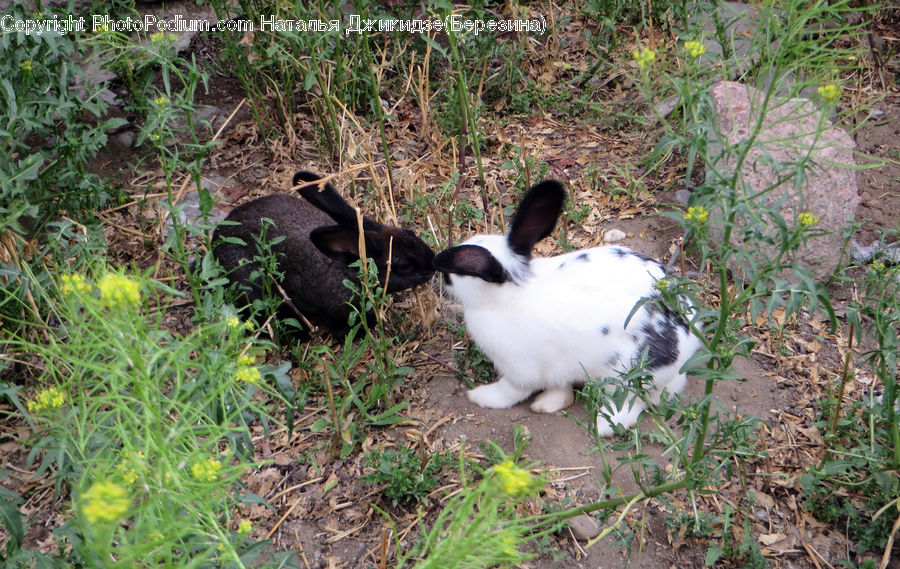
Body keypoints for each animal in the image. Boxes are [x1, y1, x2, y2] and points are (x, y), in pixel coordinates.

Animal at [432, 180, 701, 436]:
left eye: (457, 273)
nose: (442, 282)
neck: (507, 298)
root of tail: (687, 348)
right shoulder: (556, 367)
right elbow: (560, 389)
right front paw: (549, 403)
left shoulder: (520, 370)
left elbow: (511, 392)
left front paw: (480, 396)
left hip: (623, 377)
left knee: (630, 405)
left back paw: (603, 426)